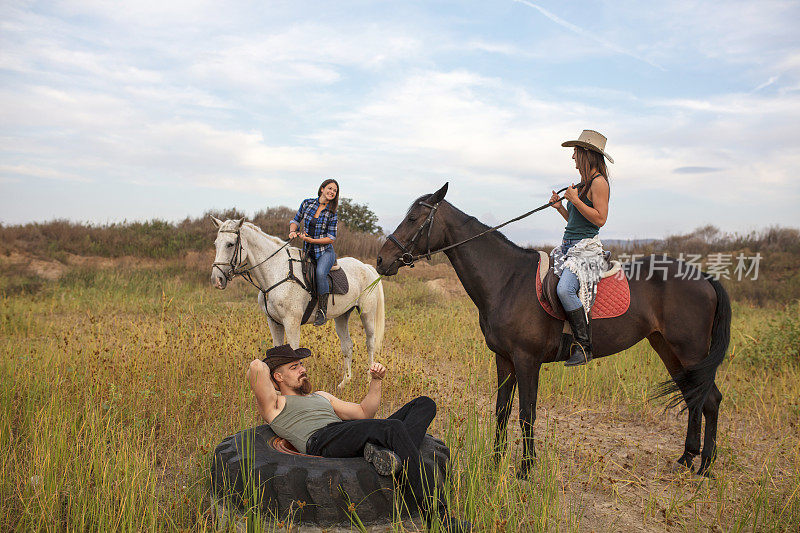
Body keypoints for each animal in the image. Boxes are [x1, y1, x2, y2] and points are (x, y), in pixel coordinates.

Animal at [209, 216, 384, 386]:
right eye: (216, 243)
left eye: (230, 244)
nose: (217, 280)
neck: (278, 272)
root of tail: (366, 267)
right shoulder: (274, 322)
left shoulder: (291, 322)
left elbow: (294, 352)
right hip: (342, 316)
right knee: (347, 345)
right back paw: (345, 382)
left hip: (367, 314)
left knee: (370, 343)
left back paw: (370, 379)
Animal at [376, 184, 732, 478]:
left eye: (413, 218)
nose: (381, 260)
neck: (507, 279)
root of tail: (703, 277)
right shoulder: (504, 359)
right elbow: (502, 411)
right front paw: (495, 463)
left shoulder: (527, 360)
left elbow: (526, 413)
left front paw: (525, 469)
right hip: (668, 349)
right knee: (695, 396)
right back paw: (687, 459)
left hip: (689, 351)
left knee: (710, 399)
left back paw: (705, 466)